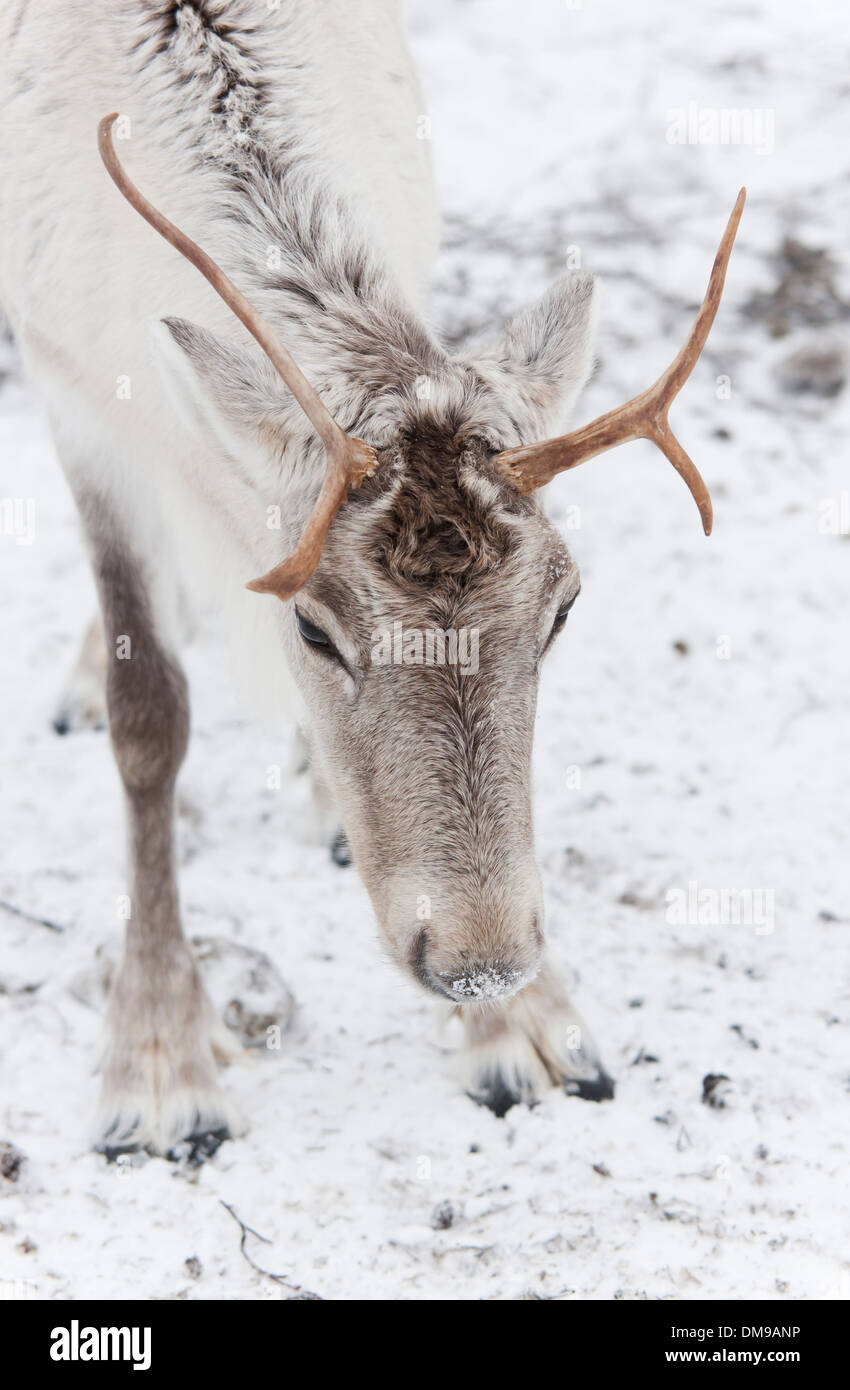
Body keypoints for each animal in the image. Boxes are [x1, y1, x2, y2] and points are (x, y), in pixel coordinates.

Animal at [0, 1, 743, 1157]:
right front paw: (159, 1062)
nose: (480, 962)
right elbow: (148, 714)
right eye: (312, 627)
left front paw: (530, 1028)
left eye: (562, 609)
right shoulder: (73, 392)